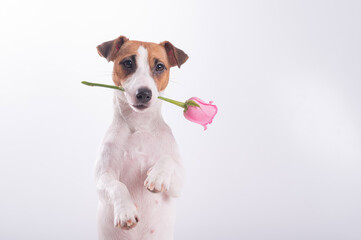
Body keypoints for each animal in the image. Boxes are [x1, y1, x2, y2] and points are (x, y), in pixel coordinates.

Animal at [93, 36, 188, 240]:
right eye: (128, 63)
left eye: (160, 66)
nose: (144, 93)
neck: (140, 125)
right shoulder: (102, 178)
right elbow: (117, 185)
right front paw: (125, 212)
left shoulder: (178, 184)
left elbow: (167, 160)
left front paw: (157, 176)